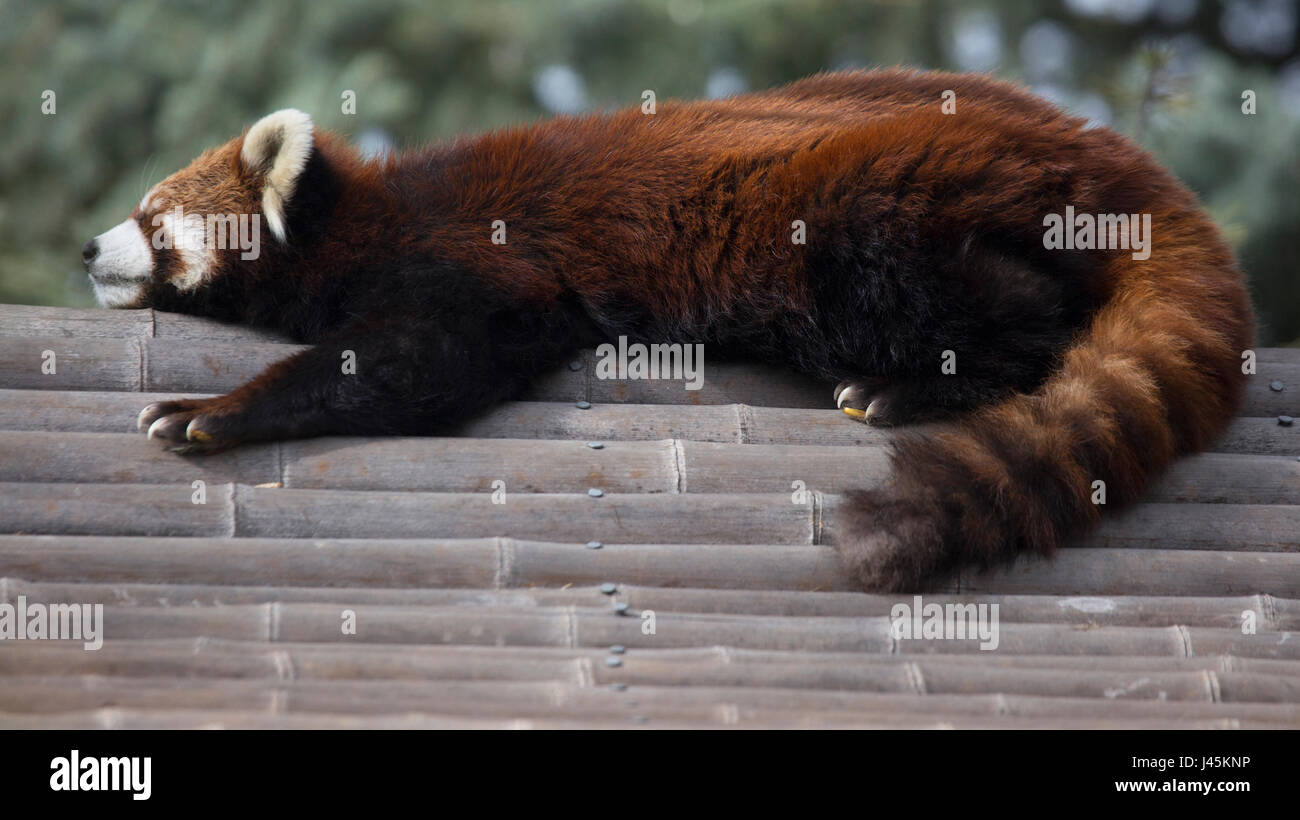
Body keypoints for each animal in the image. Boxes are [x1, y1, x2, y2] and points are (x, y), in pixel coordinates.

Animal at [83, 70, 1258, 589]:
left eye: (152, 215)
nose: (91, 249)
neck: (364, 218)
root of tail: (1101, 152)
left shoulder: (486, 259)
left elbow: (419, 364)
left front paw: (210, 411)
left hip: (870, 212)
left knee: (996, 309)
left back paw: (909, 385)